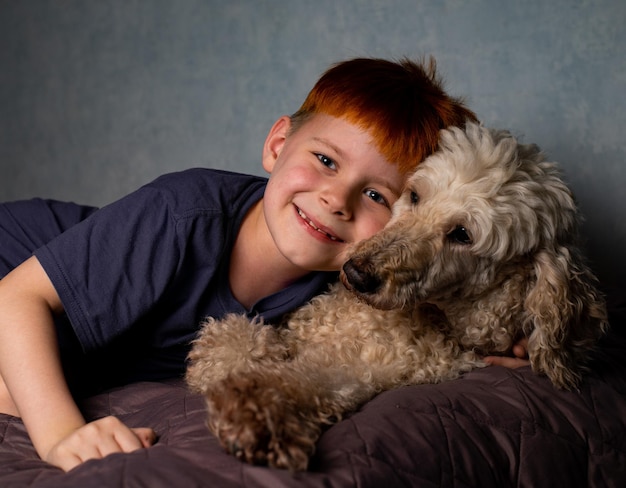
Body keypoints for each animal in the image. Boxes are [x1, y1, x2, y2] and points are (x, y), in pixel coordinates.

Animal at [184, 123, 604, 472]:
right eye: (415, 195)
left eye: (462, 234)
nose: (357, 274)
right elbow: (232, 342)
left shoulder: (367, 370)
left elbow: (310, 380)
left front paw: (255, 412)